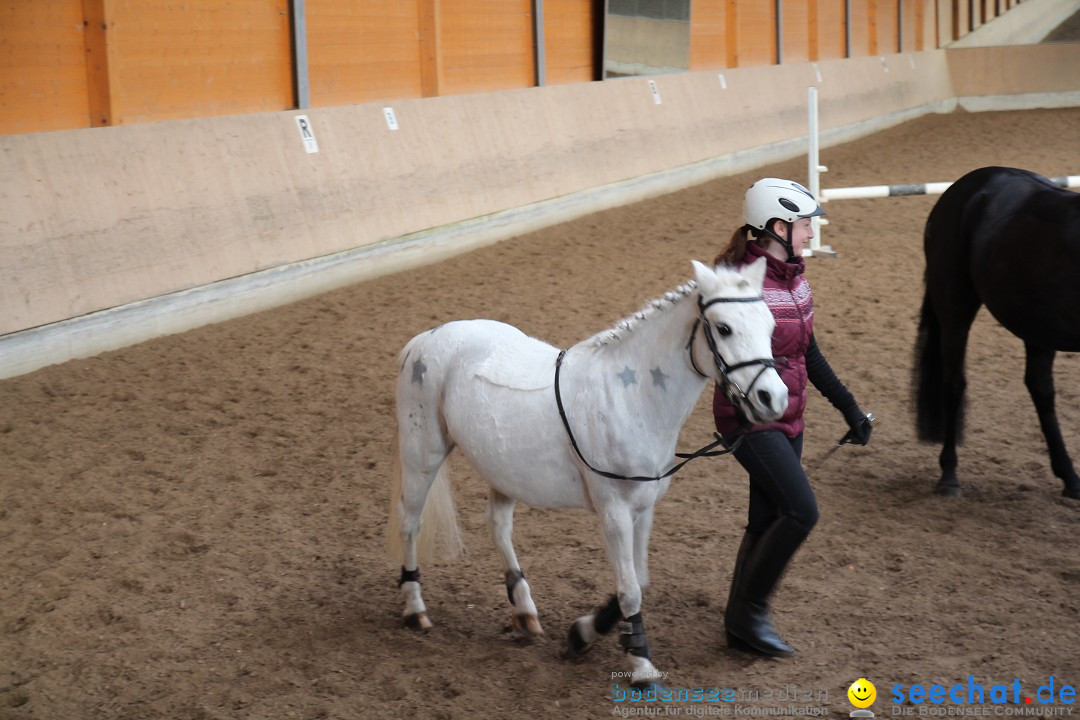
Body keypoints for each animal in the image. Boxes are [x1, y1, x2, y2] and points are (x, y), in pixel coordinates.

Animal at [388, 259, 786, 686]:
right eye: (724, 328)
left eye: (770, 326)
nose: (774, 399)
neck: (630, 398)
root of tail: (424, 339)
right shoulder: (614, 512)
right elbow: (630, 589)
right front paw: (641, 664)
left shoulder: (644, 507)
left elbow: (639, 579)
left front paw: (581, 635)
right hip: (423, 453)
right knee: (409, 522)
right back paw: (415, 609)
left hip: (503, 470)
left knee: (497, 524)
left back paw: (524, 610)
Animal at [911, 165, 1080, 498]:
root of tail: (966, 184)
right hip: (955, 307)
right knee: (954, 384)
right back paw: (949, 476)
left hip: (1037, 325)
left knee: (1041, 389)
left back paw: (1070, 478)